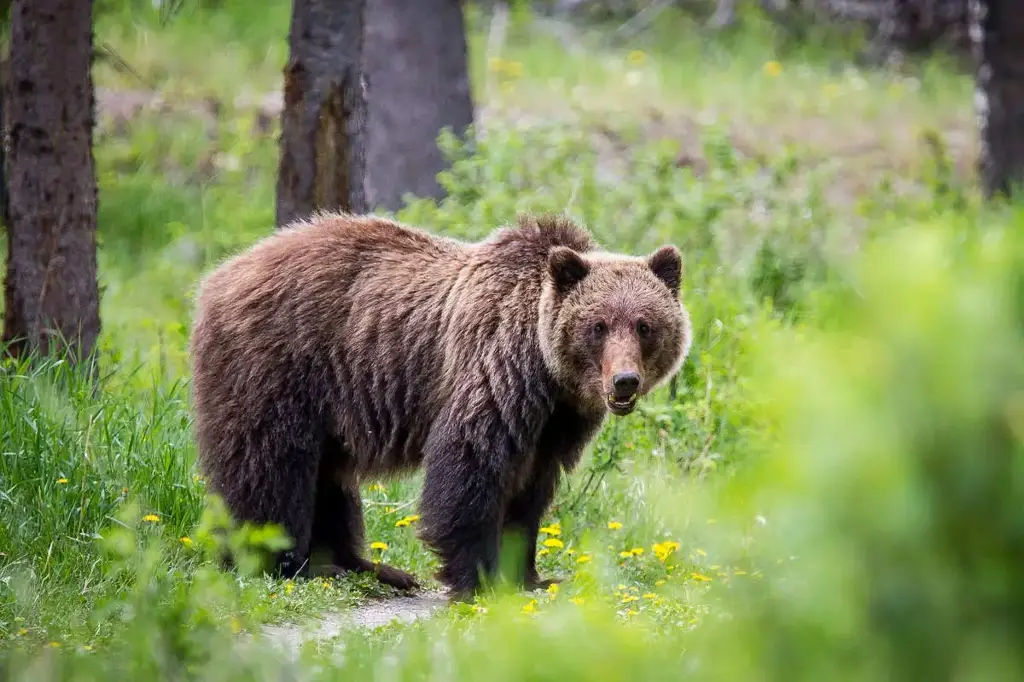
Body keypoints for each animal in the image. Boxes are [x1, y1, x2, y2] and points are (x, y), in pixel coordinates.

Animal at [188, 209, 692, 598]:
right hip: (279, 365)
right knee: (270, 464)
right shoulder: (493, 372)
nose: (624, 382)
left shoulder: (554, 422)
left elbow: (530, 491)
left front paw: (532, 575)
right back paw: (276, 560)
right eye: (598, 326)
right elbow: (470, 468)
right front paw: (480, 578)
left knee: (329, 478)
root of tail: (219, 275)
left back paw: (368, 567)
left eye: (644, 325)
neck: (546, 372)